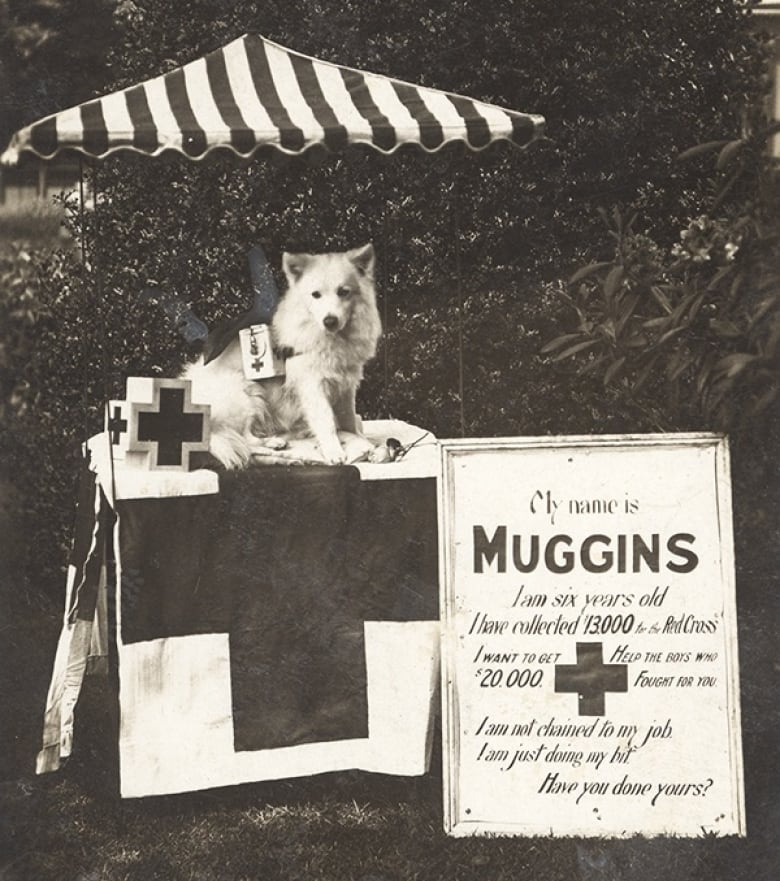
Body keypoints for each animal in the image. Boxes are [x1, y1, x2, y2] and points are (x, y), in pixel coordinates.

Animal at [181, 242, 380, 468]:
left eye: (344, 292)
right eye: (316, 295)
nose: (330, 321)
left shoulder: (345, 386)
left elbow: (348, 419)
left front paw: (360, 440)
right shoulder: (312, 387)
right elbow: (326, 421)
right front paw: (334, 451)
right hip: (244, 393)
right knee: (243, 440)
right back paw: (273, 444)